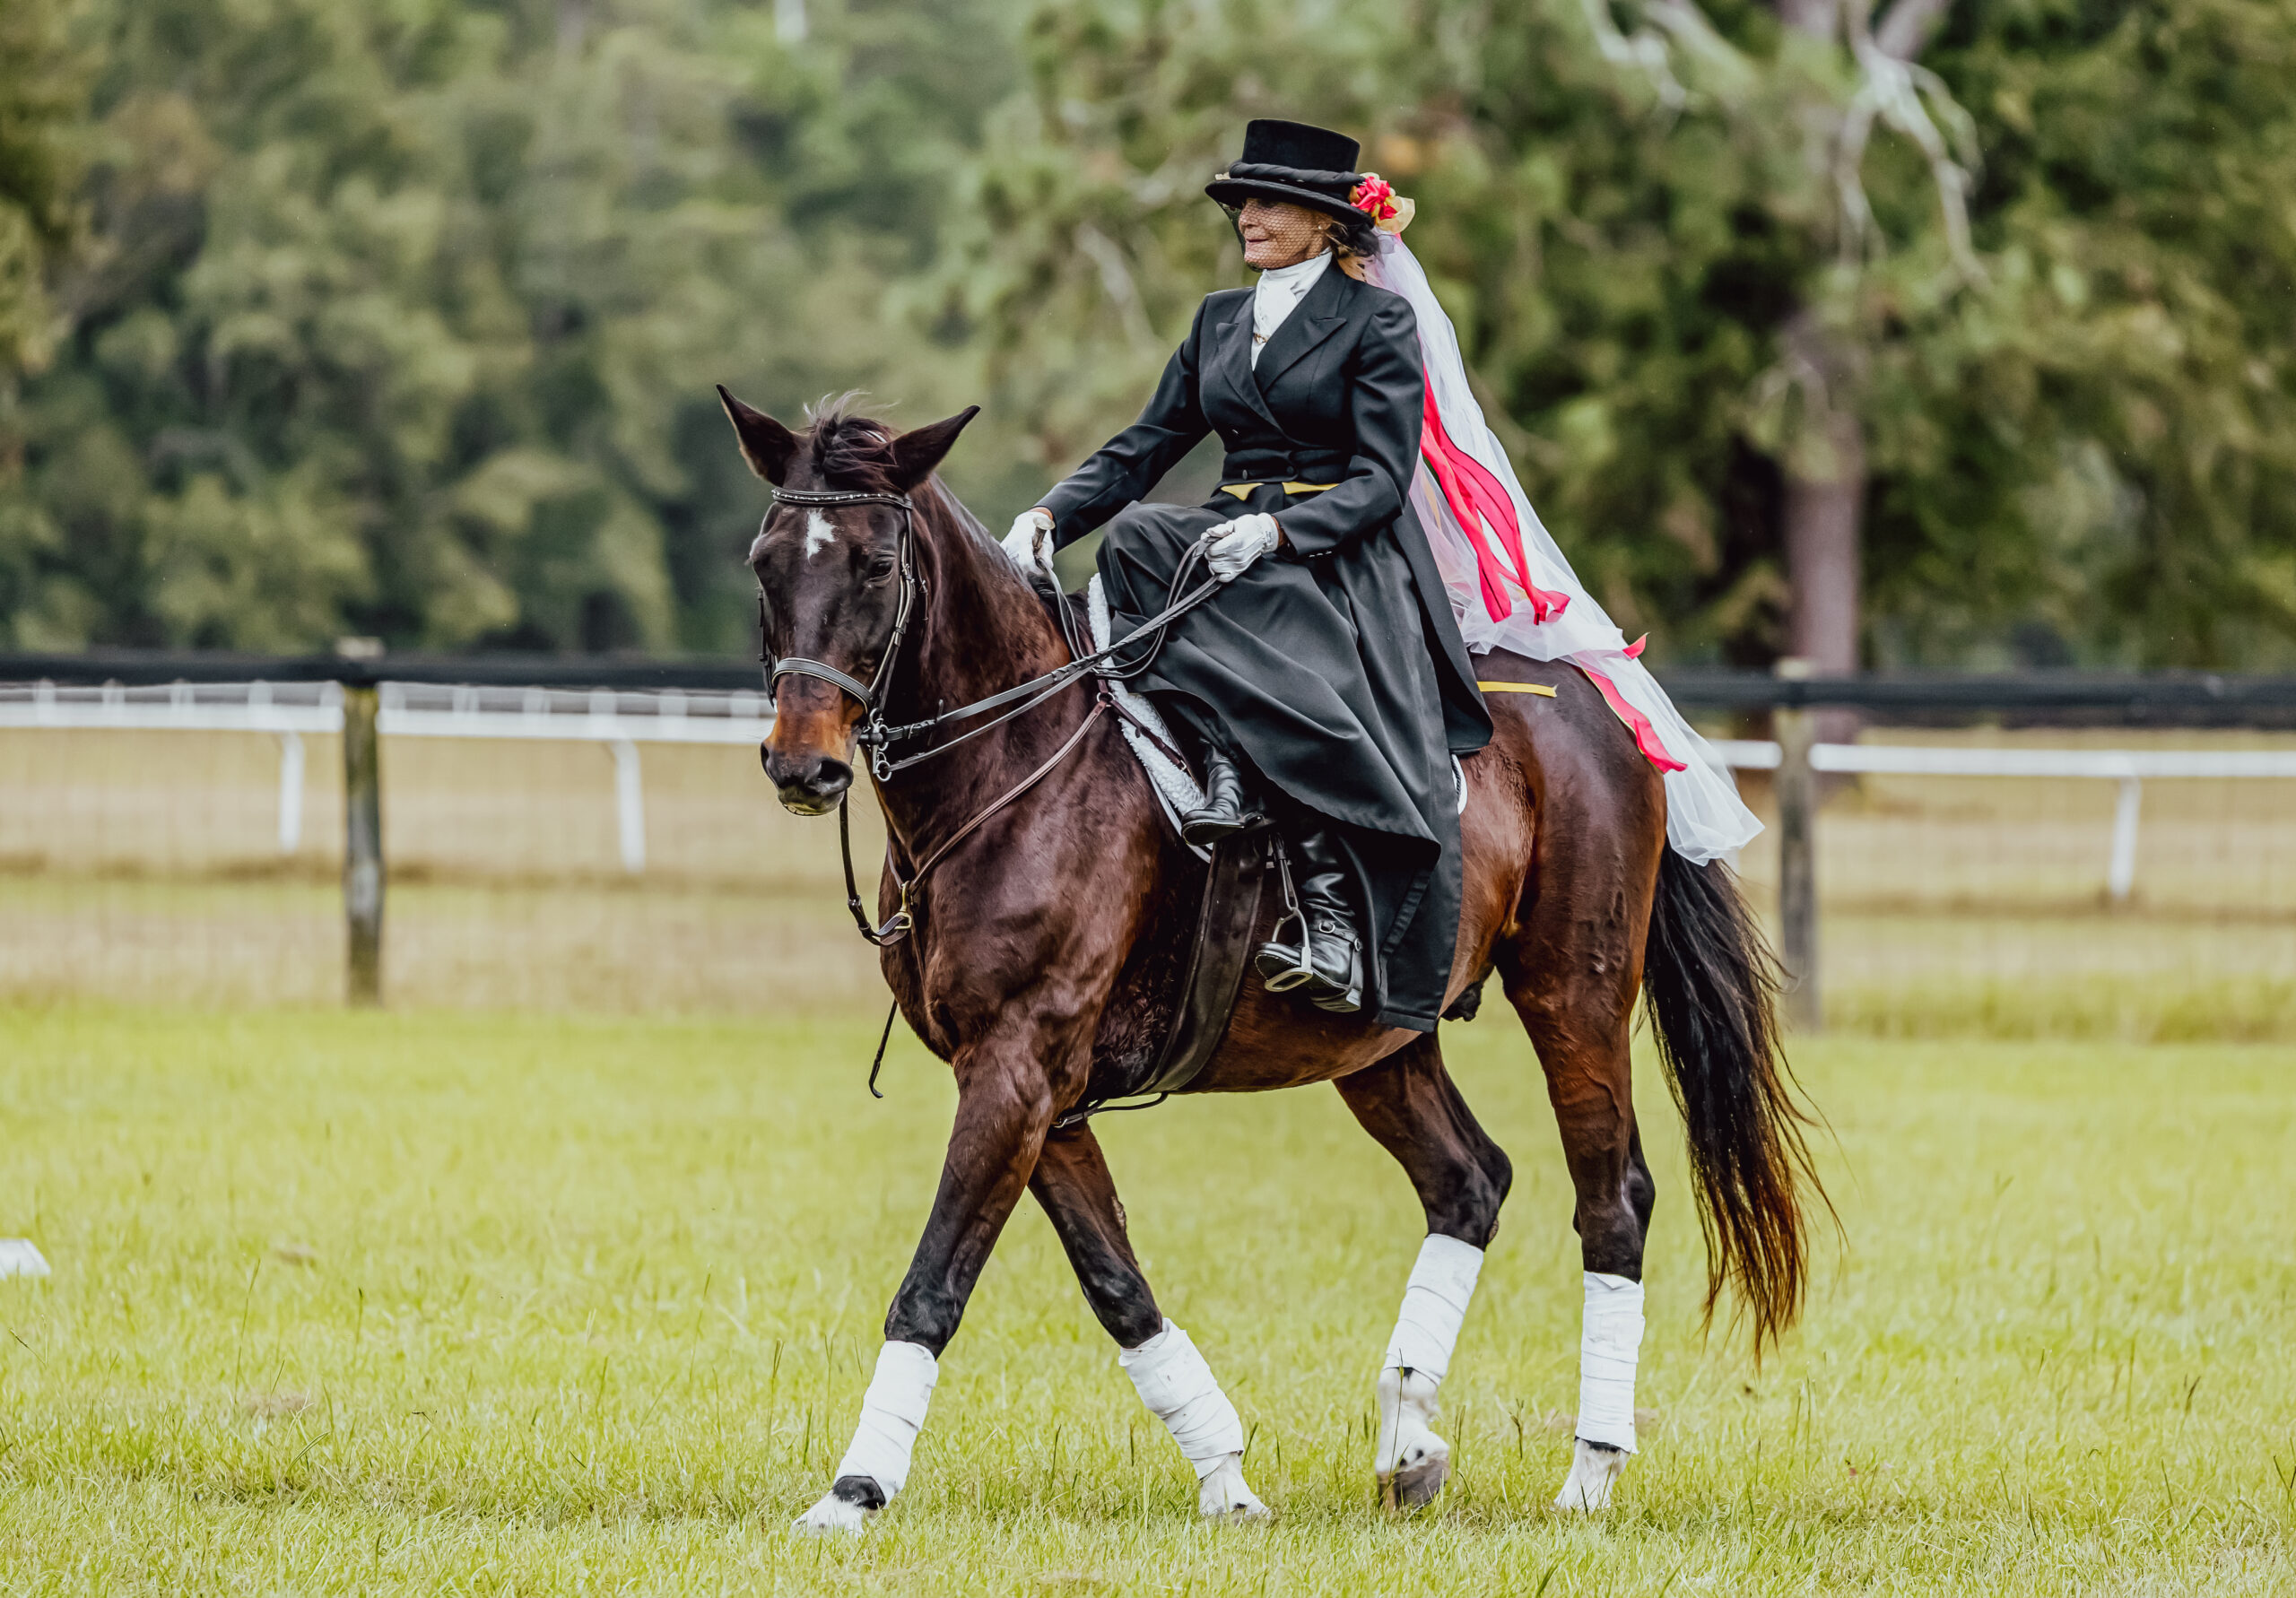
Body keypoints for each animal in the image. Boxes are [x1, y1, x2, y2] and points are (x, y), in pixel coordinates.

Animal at [717, 389, 1817, 1530]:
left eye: (874, 567)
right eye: (765, 563)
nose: (802, 767)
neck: (1009, 764)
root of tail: (1608, 701)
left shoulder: (1018, 1064)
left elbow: (934, 1282)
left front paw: (852, 1492)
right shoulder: (1034, 1089)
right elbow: (1116, 1285)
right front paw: (1226, 1480)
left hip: (1574, 994)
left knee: (1611, 1197)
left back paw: (1590, 1470)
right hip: (1380, 1041)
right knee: (1470, 1179)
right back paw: (1409, 1436)